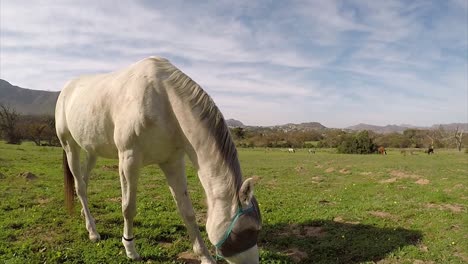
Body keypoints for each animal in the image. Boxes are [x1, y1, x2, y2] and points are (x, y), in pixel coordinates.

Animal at [55, 56, 262, 262]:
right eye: (247, 231)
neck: (164, 101)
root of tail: (66, 89)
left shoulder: (173, 162)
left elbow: (187, 211)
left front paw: (205, 256)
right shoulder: (129, 160)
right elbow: (128, 207)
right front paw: (130, 249)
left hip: (92, 151)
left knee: (84, 180)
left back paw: (85, 215)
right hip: (70, 146)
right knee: (80, 187)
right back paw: (92, 231)